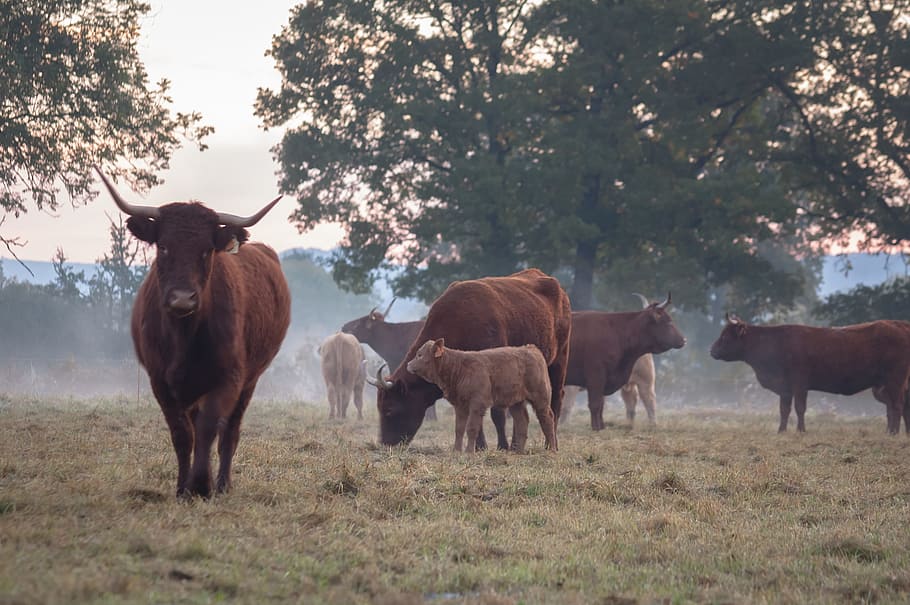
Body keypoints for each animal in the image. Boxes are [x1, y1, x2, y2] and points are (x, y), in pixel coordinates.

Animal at [96, 168, 291, 498]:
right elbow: (182, 434)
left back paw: (222, 483)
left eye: (206, 250)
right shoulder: (160, 381)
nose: (182, 299)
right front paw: (182, 488)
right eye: (163, 246)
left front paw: (201, 485)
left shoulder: (229, 378)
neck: (183, 336)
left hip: (250, 380)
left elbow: (210, 428)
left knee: (230, 432)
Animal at [406, 339, 557, 452]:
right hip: (516, 402)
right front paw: (456, 451)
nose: (408, 364)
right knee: (522, 421)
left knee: (547, 418)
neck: (459, 368)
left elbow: (471, 428)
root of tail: (531, 348)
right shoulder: (460, 405)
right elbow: (459, 429)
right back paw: (519, 451)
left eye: (420, 355)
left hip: (540, 399)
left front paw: (469, 452)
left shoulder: (477, 404)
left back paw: (551, 449)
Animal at [565, 294, 685, 431]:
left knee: (646, 400)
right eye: (668, 321)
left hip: (644, 381)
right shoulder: (595, 378)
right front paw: (596, 427)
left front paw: (600, 427)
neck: (618, 333)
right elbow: (594, 404)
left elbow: (599, 405)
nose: (684, 340)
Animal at [710, 314, 910, 434]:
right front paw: (781, 430)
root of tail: (899, 324)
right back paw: (890, 432)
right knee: (893, 408)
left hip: (895, 381)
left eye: (725, 337)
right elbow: (784, 409)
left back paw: (894, 433)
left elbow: (799, 408)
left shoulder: (800, 385)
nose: (712, 351)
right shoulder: (785, 389)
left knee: (897, 406)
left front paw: (801, 430)